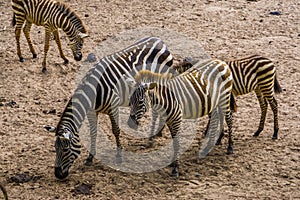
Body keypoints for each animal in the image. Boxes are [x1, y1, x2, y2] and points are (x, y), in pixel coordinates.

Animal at [43, 36, 175, 179]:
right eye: (55, 148)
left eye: (65, 149)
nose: (58, 175)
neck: (93, 92)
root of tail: (158, 39)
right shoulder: (92, 112)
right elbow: (93, 132)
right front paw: (90, 157)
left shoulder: (113, 107)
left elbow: (115, 130)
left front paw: (119, 156)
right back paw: (159, 132)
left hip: (160, 82)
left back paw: (151, 138)